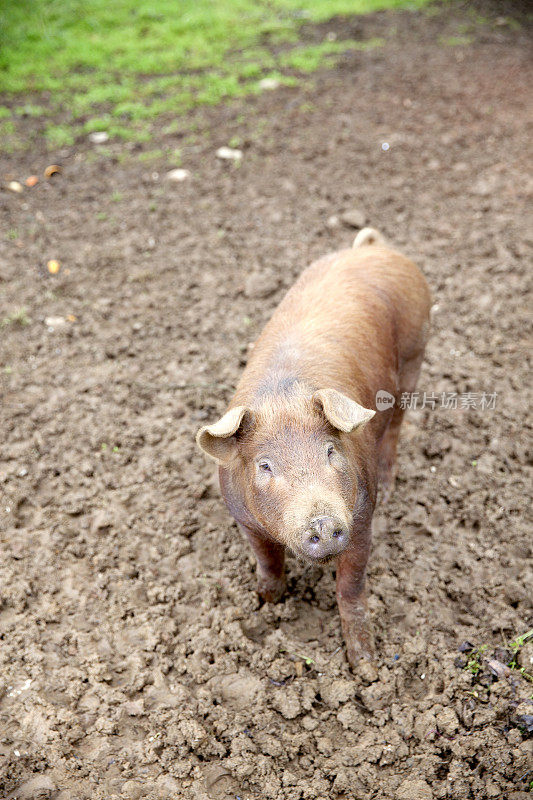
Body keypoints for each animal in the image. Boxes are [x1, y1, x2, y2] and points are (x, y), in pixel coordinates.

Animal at [197, 228, 430, 664]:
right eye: (265, 465)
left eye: (330, 451)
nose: (322, 521)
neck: (283, 397)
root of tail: (374, 248)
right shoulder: (244, 518)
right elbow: (268, 560)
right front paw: (265, 602)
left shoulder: (360, 516)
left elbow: (350, 586)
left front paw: (365, 662)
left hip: (414, 353)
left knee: (396, 425)